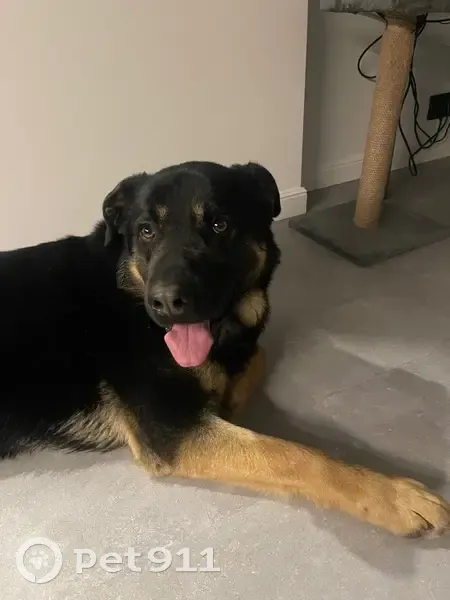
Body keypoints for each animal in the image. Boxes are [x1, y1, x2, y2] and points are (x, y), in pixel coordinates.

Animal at [1, 160, 449, 537]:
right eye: (146, 230)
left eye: (219, 224)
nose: (165, 303)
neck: (126, 293)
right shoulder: (174, 428)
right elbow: (295, 454)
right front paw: (393, 495)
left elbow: (255, 358)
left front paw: (228, 388)